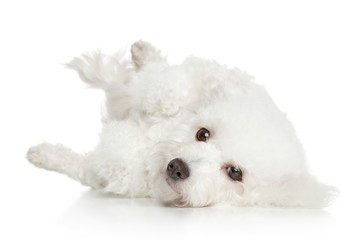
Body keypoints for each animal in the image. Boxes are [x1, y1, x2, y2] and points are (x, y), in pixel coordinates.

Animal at [26, 40, 336, 207]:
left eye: (235, 173)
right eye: (203, 133)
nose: (177, 167)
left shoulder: (105, 173)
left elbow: (76, 165)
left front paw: (43, 155)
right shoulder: (164, 94)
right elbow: (163, 88)